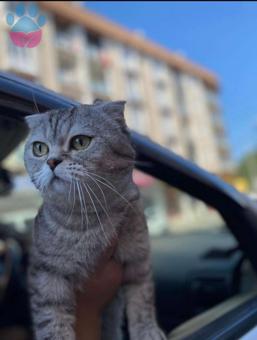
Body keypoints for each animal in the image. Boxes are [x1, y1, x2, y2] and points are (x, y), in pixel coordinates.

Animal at [23, 101, 164, 340]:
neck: (87, 218)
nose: (52, 161)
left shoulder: (139, 260)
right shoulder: (45, 275)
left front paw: (147, 331)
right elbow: (52, 320)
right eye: (39, 148)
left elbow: (142, 301)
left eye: (80, 142)